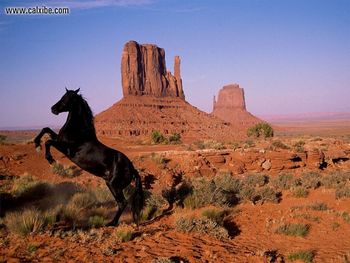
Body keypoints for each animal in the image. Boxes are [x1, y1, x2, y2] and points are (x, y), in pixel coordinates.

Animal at [32, 89, 142, 227]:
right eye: (63, 96)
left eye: (67, 98)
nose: (53, 109)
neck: (79, 132)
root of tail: (132, 169)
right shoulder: (59, 139)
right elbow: (46, 129)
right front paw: (36, 143)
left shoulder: (67, 150)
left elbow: (48, 142)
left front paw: (50, 159)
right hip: (111, 184)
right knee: (121, 203)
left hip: (114, 185)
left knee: (122, 203)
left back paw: (111, 223)